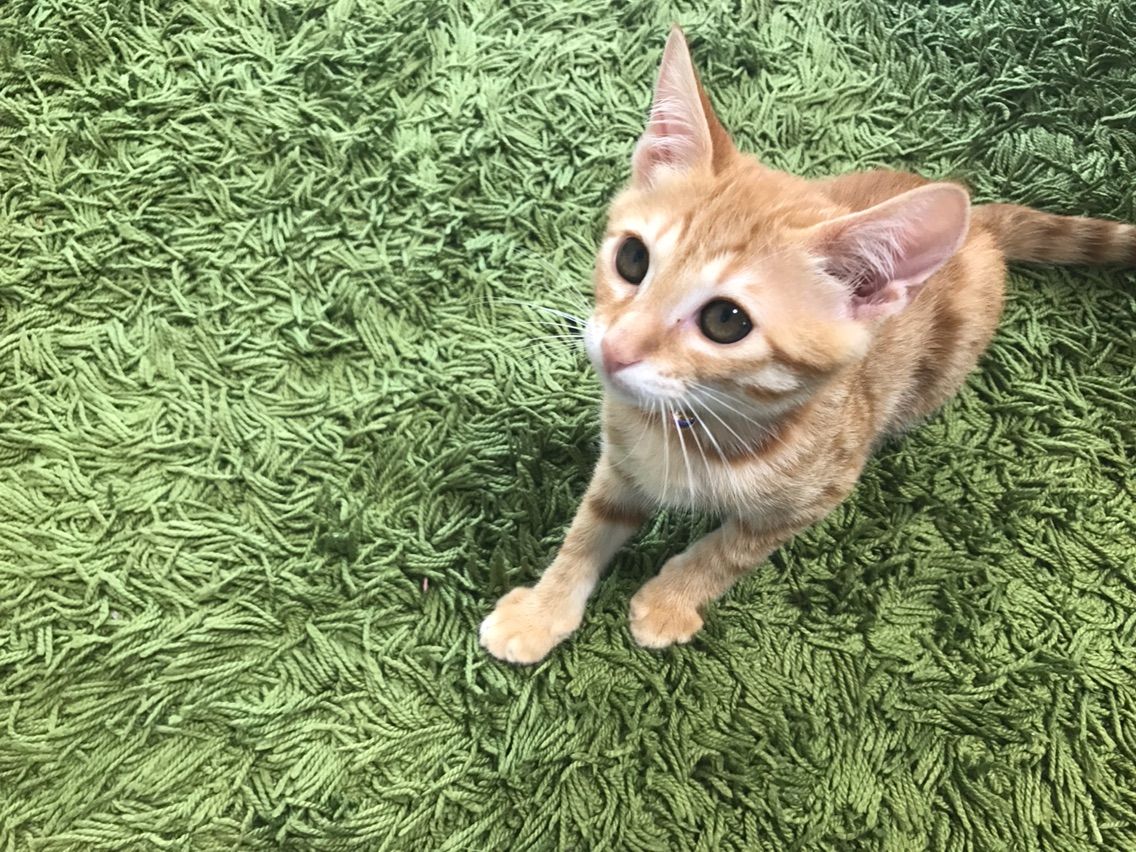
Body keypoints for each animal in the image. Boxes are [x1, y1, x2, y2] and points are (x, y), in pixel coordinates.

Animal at [480, 27, 1136, 664]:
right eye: (632, 259)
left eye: (725, 321)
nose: (615, 349)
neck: (697, 424)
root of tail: (979, 226)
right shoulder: (619, 459)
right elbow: (589, 526)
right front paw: (543, 609)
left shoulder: (820, 493)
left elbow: (732, 547)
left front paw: (671, 599)